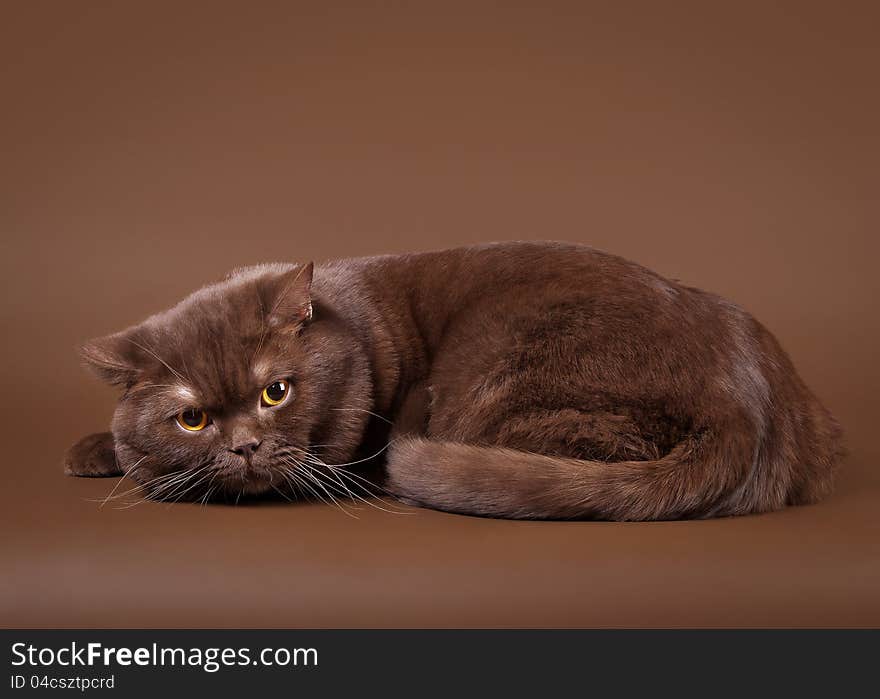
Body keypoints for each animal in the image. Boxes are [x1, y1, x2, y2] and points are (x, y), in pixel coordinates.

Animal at [65, 242, 844, 520]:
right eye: (192, 419)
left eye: (274, 392)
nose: (247, 446)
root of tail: (746, 402)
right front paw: (96, 451)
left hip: (496, 371)